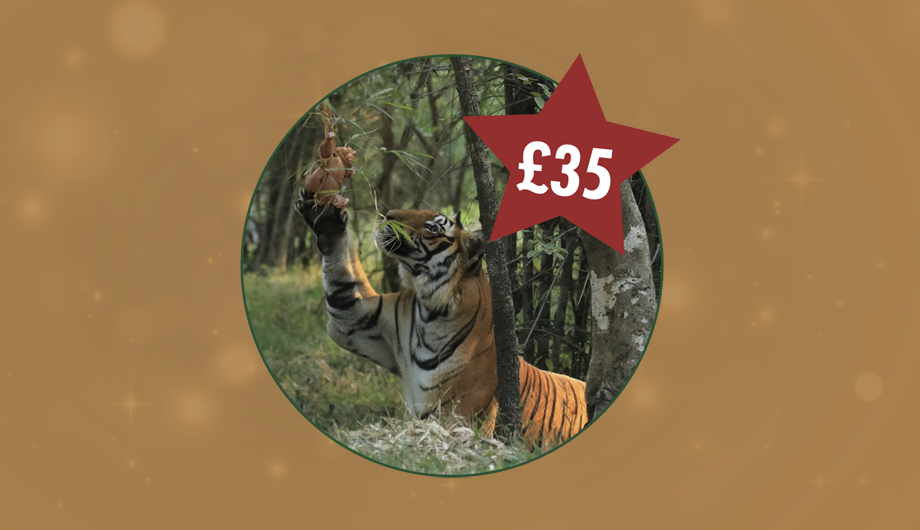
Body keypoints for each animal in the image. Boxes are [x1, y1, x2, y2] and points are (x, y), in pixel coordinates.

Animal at [294, 188, 588, 447]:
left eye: (434, 228)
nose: (388, 214)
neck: (431, 314)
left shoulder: (455, 417)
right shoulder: (356, 318)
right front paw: (326, 218)